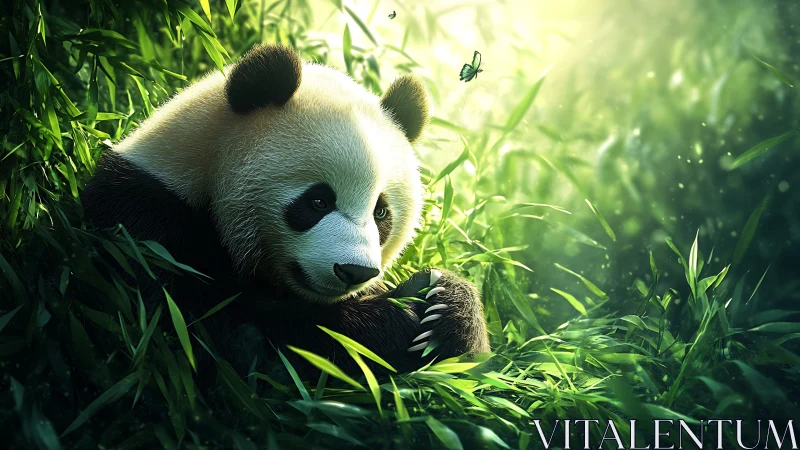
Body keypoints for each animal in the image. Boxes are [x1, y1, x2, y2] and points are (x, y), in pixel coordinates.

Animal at [81, 44, 490, 380]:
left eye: (381, 213)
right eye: (318, 201)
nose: (355, 271)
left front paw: (444, 310)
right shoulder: (146, 216)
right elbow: (206, 330)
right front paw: (391, 326)